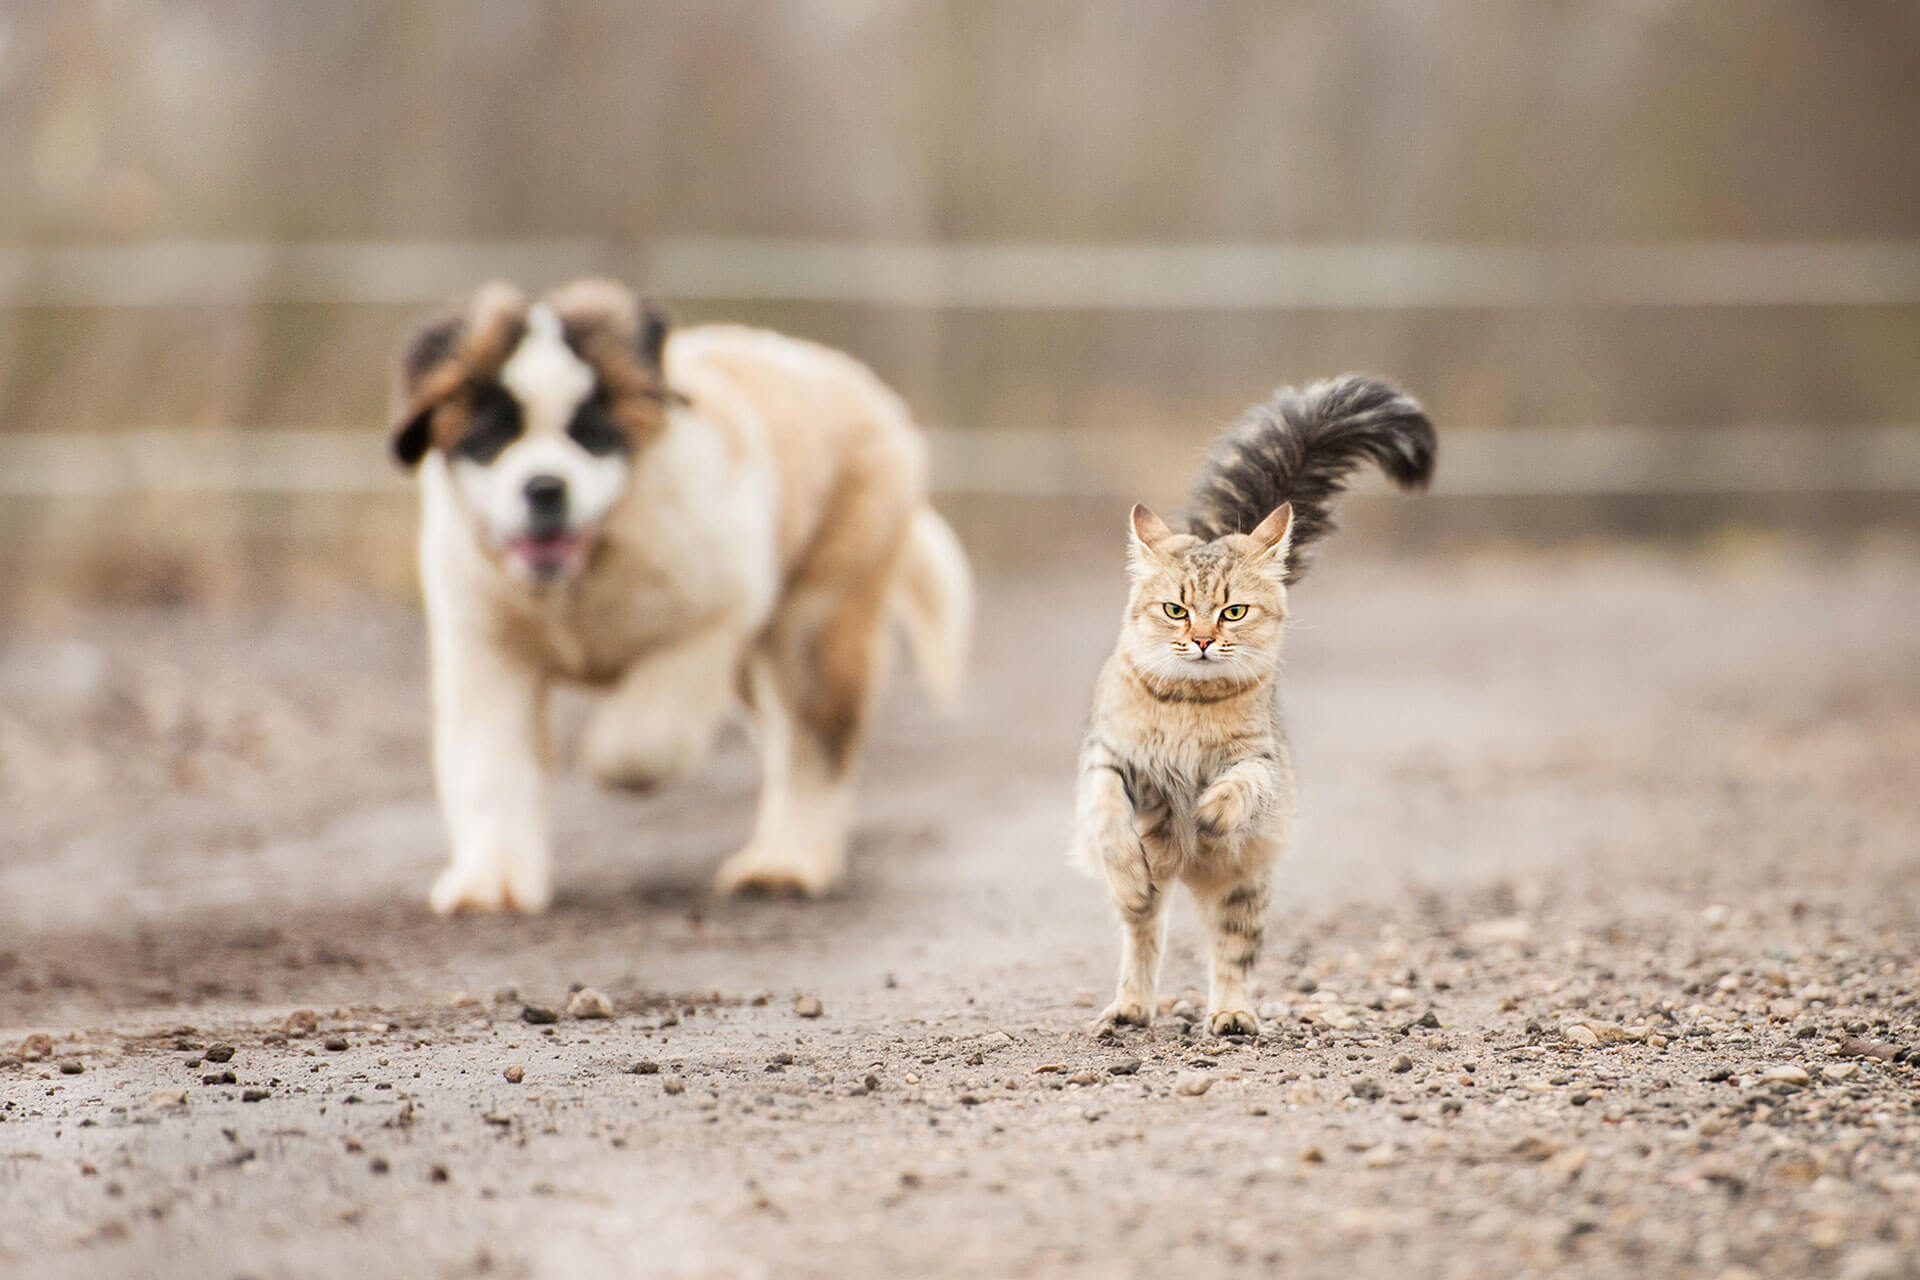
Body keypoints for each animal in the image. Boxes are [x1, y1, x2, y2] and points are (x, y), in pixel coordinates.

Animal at [385, 278, 975, 909]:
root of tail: (849, 377)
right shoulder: (488, 652)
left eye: (592, 435)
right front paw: (491, 882)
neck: (582, 574)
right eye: (492, 438)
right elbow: (490, 767)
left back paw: (786, 862)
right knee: (784, 740)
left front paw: (612, 760)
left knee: (811, 746)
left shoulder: (716, 614)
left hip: (815, 631)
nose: (544, 486)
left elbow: (649, 730)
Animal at [1075, 376, 1436, 1036]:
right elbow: (1111, 813)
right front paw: (1137, 856)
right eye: (1175, 609)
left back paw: (1232, 1016)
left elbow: (1239, 786)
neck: (1187, 707)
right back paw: (1130, 1006)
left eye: (1233, 611)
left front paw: (1209, 816)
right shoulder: (1108, 758)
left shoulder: (1259, 760)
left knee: (1232, 957)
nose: (1201, 640)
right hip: (1155, 904)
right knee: (1144, 935)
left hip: (1245, 887)